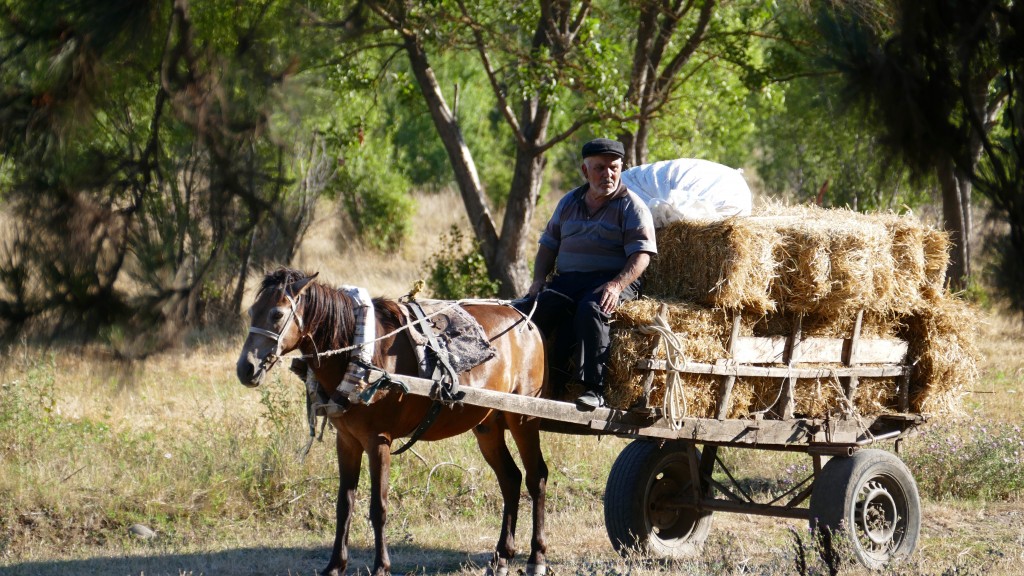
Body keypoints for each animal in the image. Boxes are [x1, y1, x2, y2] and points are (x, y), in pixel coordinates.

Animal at [234, 268, 548, 573]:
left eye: (277, 314)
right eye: (251, 311)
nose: (245, 369)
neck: (360, 353)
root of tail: (526, 321)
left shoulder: (378, 442)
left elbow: (379, 507)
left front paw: (381, 566)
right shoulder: (346, 441)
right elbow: (344, 503)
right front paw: (335, 565)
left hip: (523, 417)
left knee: (536, 477)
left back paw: (537, 557)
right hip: (488, 424)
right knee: (510, 478)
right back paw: (502, 556)